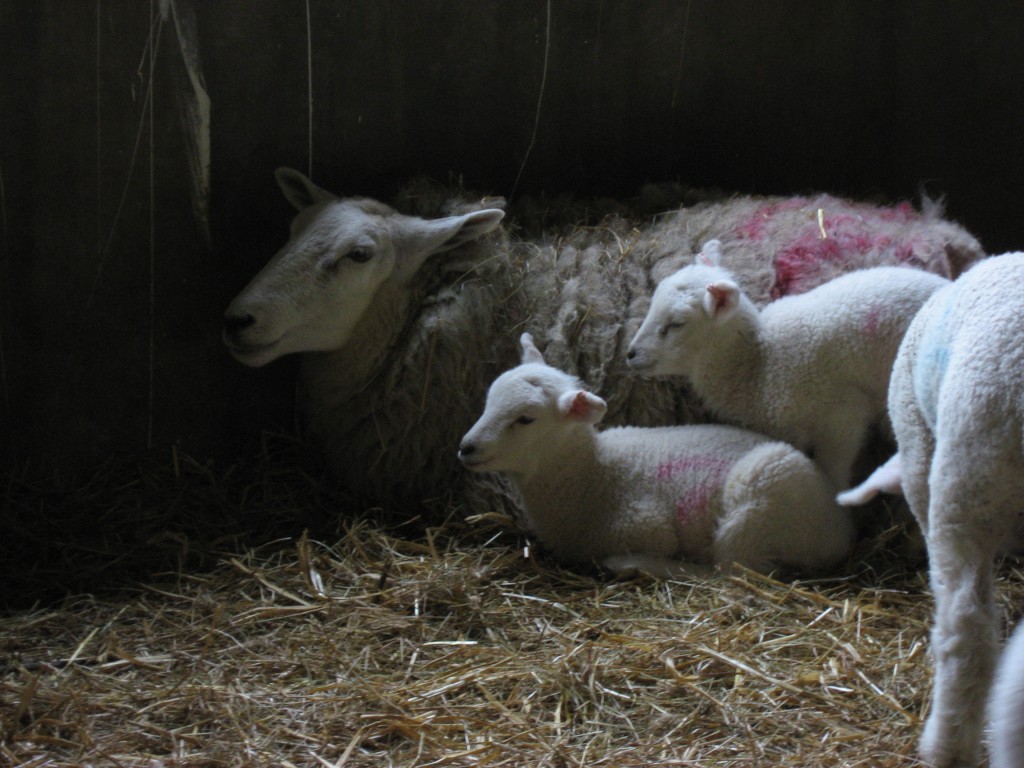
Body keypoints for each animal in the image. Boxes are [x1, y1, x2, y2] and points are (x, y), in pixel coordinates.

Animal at [458, 331, 856, 577]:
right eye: (489, 400)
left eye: (526, 418)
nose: (466, 447)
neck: (591, 476)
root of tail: (841, 528)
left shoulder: (648, 526)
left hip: (759, 500)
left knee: (733, 573)